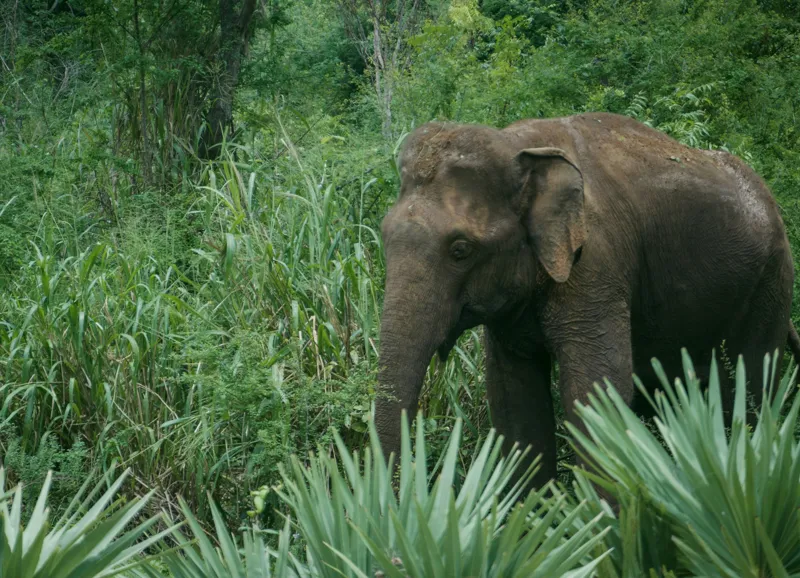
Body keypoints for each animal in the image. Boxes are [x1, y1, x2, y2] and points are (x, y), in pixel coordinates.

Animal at [374, 111, 800, 489]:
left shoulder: (597, 265)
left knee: (749, 388)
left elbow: (596, 391)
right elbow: (514, 400)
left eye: (460, 250)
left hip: (772, 281)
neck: (518, 146)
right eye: (384, 236)